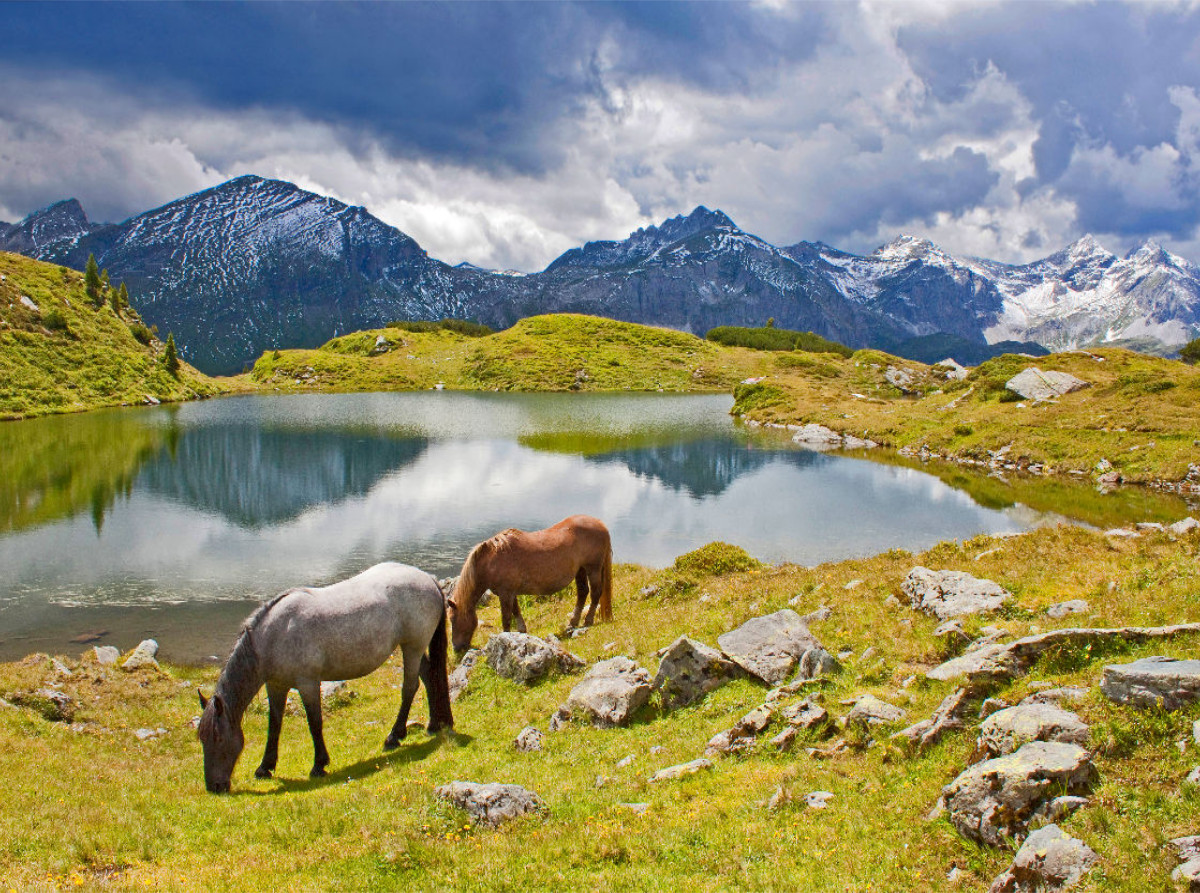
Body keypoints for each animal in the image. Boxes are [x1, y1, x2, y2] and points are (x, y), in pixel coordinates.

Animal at [196, 561, 451, 792]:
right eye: (202, 738)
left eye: (218, 738)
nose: (215, 787)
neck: (275, 635)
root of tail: (429, 579)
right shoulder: (276, 686)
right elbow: (275, 724)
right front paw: (265, 767)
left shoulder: (307, 683)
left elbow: (314, 721)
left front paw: (319, 765)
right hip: (411, 648)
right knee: (429, 678)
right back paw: (433, 725)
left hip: (413, 647)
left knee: (409, 687)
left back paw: (394, 736)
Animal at [451, 513, 619, 652]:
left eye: (452, 619)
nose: (456, 648)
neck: (492, 560)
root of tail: (600, 524)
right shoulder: (510, 593)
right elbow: (516, 611)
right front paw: (521, 631)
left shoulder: (506, 594)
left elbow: (506, 619)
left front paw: (503, 639)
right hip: (581, 570)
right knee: (583, 593)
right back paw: (572, 623)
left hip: (593, 568)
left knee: (595, 593)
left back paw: (587, 621)